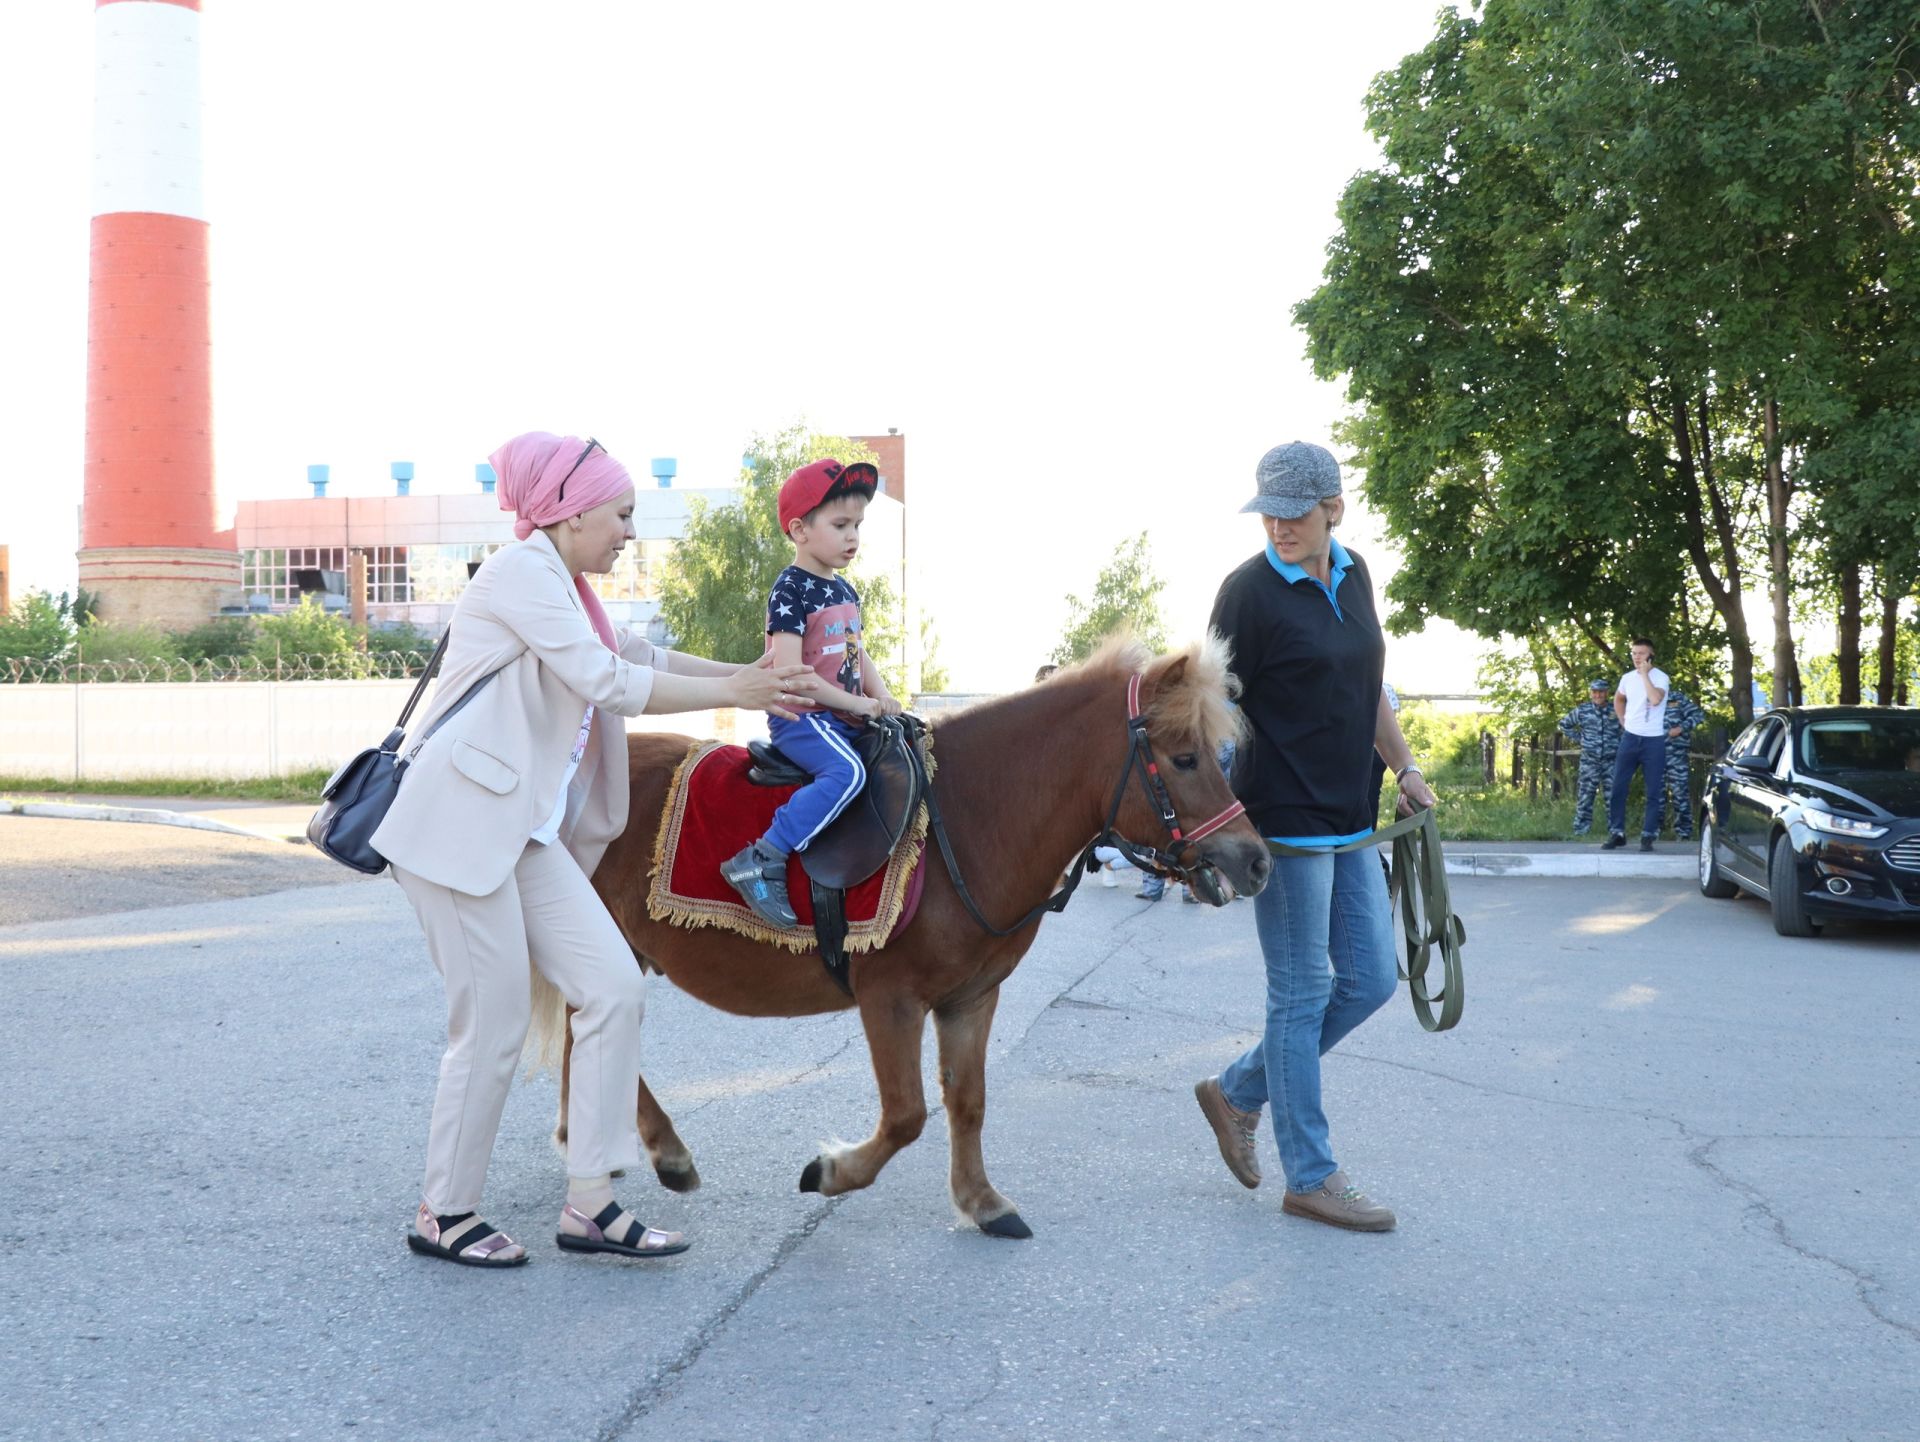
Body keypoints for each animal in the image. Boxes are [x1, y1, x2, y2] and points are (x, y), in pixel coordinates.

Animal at [541, 637, 1267, 1236]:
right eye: (1185, 758)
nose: (1257, 861)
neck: (967, 826)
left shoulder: (971, 997)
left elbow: (967, 1102)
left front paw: (980, 1201)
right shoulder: (890, 999)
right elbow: (907, 1115)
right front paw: (832, 1172)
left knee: (583, 1034)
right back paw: (660, 1151)